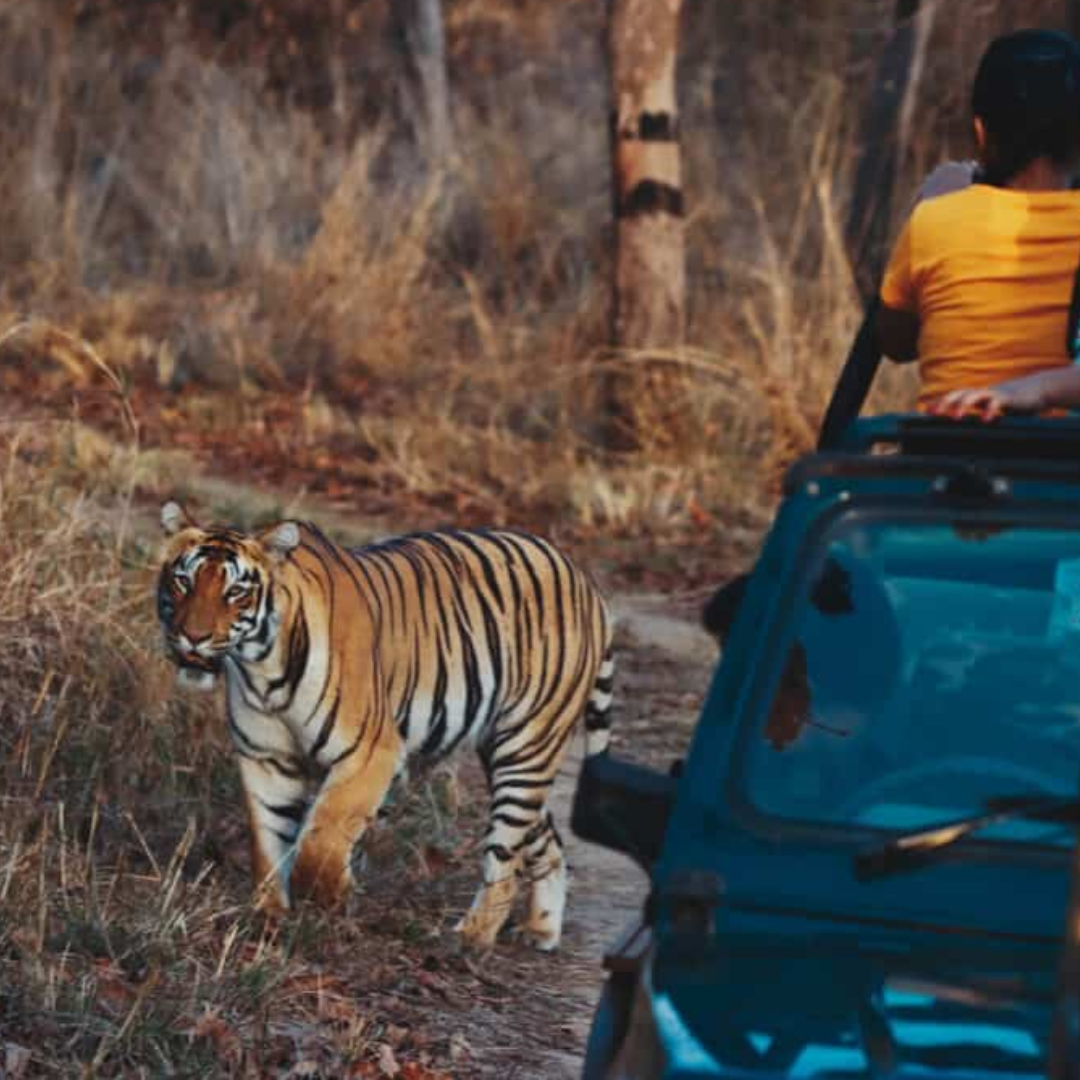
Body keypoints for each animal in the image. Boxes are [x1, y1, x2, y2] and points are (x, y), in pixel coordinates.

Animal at [157, 501, 622, 950]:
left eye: (235, 591)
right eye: (183, 581)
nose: (193, 637)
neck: (262, 670)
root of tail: (585, 581)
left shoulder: (370, 753)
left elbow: (319, 844)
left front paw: (336, 895)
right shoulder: (266, 758)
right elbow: (269, 842)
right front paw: (268, 917)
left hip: (527, 745)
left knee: (506, 854)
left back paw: (471, 938)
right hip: (504, 753)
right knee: (548, 840)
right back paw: (540, 930)